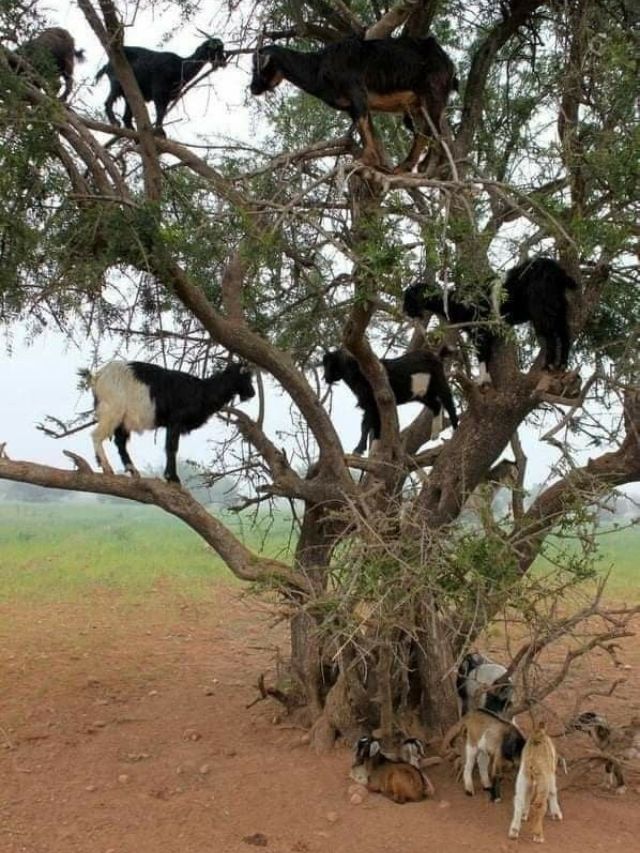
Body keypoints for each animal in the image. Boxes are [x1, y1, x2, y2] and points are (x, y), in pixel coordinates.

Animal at [85, 358, 255, 482]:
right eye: (245, 377)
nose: (252, 393)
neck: (202, 390)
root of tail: (98, 376)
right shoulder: (175, 421)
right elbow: (171, 447)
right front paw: (172, 477)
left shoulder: (171, 424)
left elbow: (169, 447)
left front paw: (170, 476)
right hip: (112, 411)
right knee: (96, 435)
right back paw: (107, 467)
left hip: (122, 418)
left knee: (120, 442)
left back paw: (132, 470)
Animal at [94, 38, 226, 134]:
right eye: (216, 49)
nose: (223, 62)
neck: (180, 67)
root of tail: (107, 65)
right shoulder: (158, 90)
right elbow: (160, 111)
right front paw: (160, 132)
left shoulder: (168, 97)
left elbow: (163, 112)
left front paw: (160, 131)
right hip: (117, 83)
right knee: (108, 102)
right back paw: (115, 122)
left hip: (130, 91)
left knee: (126, 117)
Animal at [249, 35, 456, 171]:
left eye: (259, 67)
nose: (253, 88)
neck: (318, 66)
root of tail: (448, 63)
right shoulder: (352, 105)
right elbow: (365, 127)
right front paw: (373, 160)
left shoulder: (356, 91)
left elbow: (362, 122)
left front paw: (366, 160)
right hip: (416, 105)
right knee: (423, 130)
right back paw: (405, 166)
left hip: (433, 91)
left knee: (436, 130)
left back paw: (426, 165)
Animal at [322, 348, 458, 456]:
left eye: (329, 363)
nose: (325, 378)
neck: (358, 372)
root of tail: (436, 356)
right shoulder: (375, 405)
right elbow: (376, 425)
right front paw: (373, 451)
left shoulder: (371, 403)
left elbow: (366, 425)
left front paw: (359, 450)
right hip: (421, 394)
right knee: (436, 405)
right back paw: (435, 434)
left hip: (439, 381)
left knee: (449, 403)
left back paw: (456, 429)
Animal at [404, 256, 580, 382]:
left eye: (409, 298)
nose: (405, 311)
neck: (455, 302)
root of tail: (556, 270)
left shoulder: (480, 329)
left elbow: (482, 354)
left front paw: (483, 380)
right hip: (559, 307)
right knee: (565, 335)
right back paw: (562, 365)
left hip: (541, 308)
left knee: (551, 336)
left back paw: (549, 365)